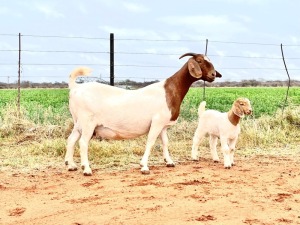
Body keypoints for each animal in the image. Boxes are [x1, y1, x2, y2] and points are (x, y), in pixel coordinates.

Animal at [65, 52, 220, 176]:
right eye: (199, 61)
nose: (214, 75)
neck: (169, 90)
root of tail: (75, 88)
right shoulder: (157, 122)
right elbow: (150, 141)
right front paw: (144, 166)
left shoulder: (163, 125)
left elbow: (165, 142)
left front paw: (169, 162)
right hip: (88, 123)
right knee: (83, 142)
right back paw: (86, 169)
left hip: (78, 123)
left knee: (71, 140)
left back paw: (71, 165)